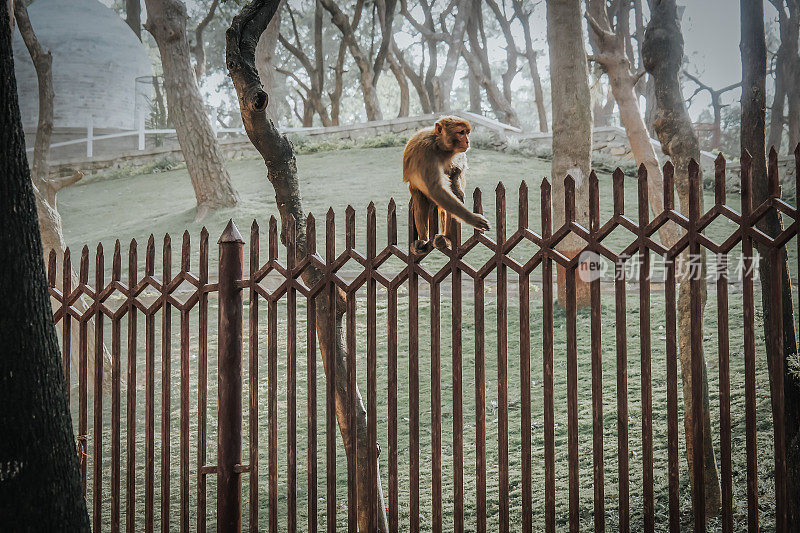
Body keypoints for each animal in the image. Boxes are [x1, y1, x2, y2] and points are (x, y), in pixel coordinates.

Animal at [400, 115, 488, 252]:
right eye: (461, 132)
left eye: (467, 133)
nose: (468, 141)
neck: (439, 146)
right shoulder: (426, 153)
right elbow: (436, 189)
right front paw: (473, 219)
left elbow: (457, 171)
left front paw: (457, 182)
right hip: (417, 190)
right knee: (421, 199)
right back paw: (423, 239)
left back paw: (446, 238)